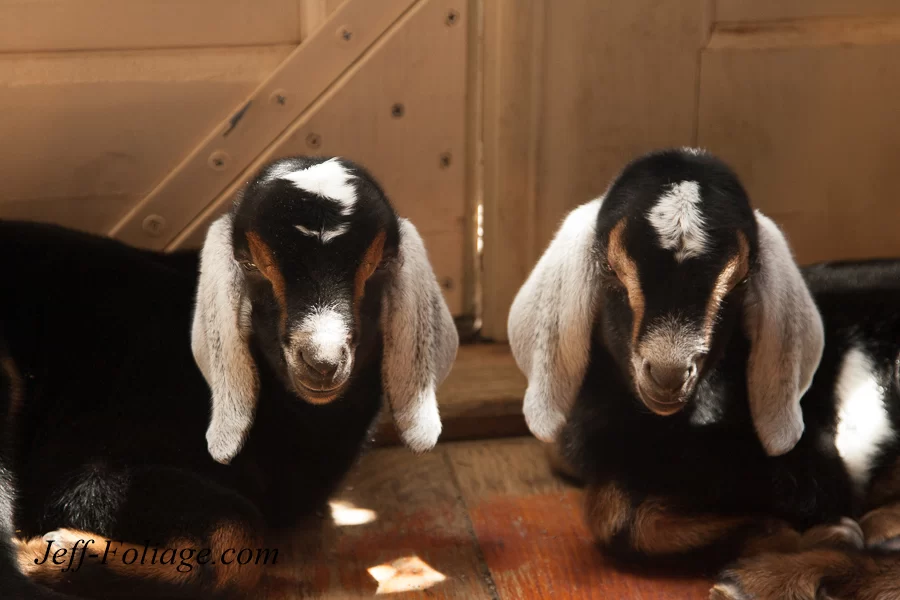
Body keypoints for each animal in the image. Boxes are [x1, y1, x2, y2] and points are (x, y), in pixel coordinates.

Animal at [0, 156, 454, 600]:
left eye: (381, 265)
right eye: (250, 264)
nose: (322, 362)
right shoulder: (82, 463)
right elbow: (239, 531)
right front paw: (47, 549)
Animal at [510, 146, 900, 600]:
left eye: (741, 280)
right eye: (610, 269)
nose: (667, 374)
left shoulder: (805, 465)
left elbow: (614, 513)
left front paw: (828, 533)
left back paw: (766, 579)